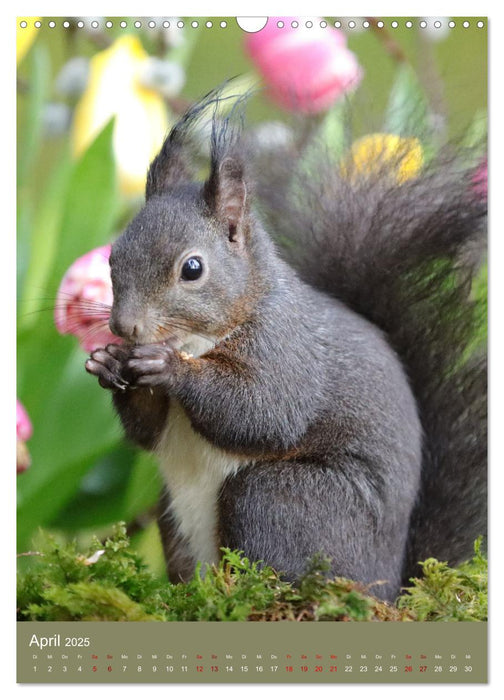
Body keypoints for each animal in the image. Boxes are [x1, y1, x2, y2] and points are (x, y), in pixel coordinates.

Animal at [84, 87, 486, 600]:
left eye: (192, 268)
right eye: (113, 257)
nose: (125, 327)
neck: (202, 337)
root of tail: (392, 582)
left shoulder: (286, 349)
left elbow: (264, 411)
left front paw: (170, 367)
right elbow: (147, 432)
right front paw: (108, 363)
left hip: (281, 500)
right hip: (176, 520)